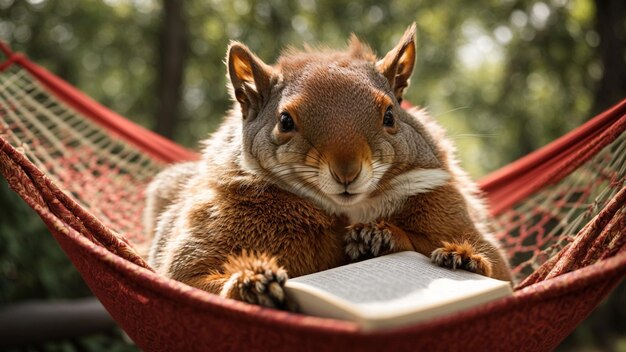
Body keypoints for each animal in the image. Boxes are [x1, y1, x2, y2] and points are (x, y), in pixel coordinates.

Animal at [144, 24, 510, 310]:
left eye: (390, 115)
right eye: (285, 120)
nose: (347, 171)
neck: (346, 211)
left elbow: (499, 268)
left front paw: (395, 240)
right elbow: (185, 277)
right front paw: (251, 283)